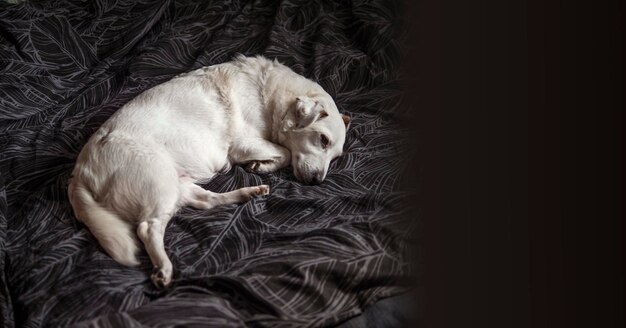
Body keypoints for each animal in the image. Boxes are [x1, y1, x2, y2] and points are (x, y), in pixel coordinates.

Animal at [69, 55, 352, 288]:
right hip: (161, 182)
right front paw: (265, 163)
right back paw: (164, 268)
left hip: (178, 184)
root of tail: (79, 173)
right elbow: (285, 153)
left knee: (206, 202)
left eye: (335, 157)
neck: (269, 97)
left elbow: (282, 154)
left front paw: (261, 166)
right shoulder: (243, 144)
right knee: (148, 228)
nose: (317, 181)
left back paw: (249, 193)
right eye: (323, 140)